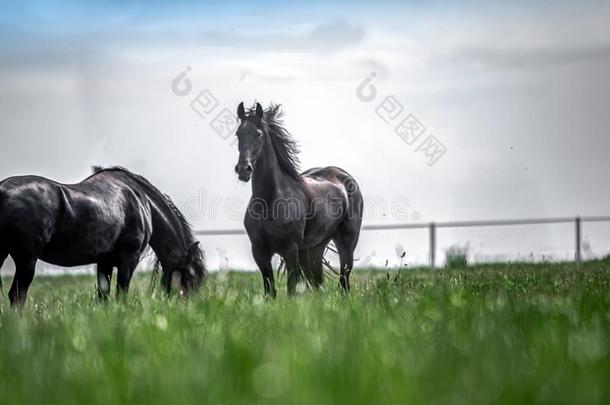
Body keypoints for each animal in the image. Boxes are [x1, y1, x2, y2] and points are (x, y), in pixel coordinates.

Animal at [0, 166, 205, 304]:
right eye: (193, 277)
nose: (191, 308)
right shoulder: (128, 260)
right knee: (17, 296)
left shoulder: (104, 262)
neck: (141, 200)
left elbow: (103, 297)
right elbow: (121, 294)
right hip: (27, 259)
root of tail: (3, 190)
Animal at [233, 102, 360, 296]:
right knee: (318, 284)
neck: (270, 202)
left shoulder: (290, 250)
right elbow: (270, 291)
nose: (243, 169)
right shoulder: (260, 252)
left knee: (343, 282)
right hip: (315, 248)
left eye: (258, 134)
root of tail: (342, 175)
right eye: (238, 133)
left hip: (346, 243)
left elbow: (291, 290)